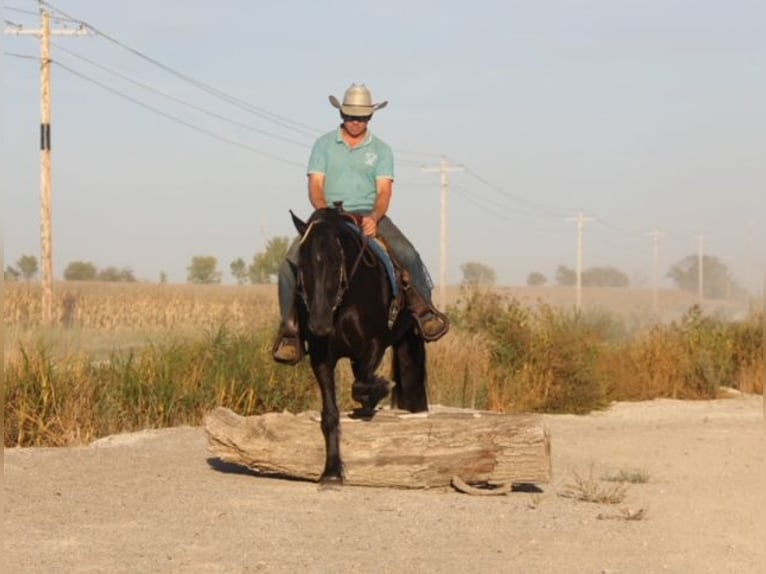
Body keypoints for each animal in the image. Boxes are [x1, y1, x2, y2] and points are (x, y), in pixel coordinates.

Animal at [292, 207, 428, 486]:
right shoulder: (321, 358)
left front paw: (382, 387)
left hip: (408, 340)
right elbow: (331, 414)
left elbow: (361, 385)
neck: (343, 303)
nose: (319, 324)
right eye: (302, 264)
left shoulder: (375, 343)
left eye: (336, 263)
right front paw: (332, 471)